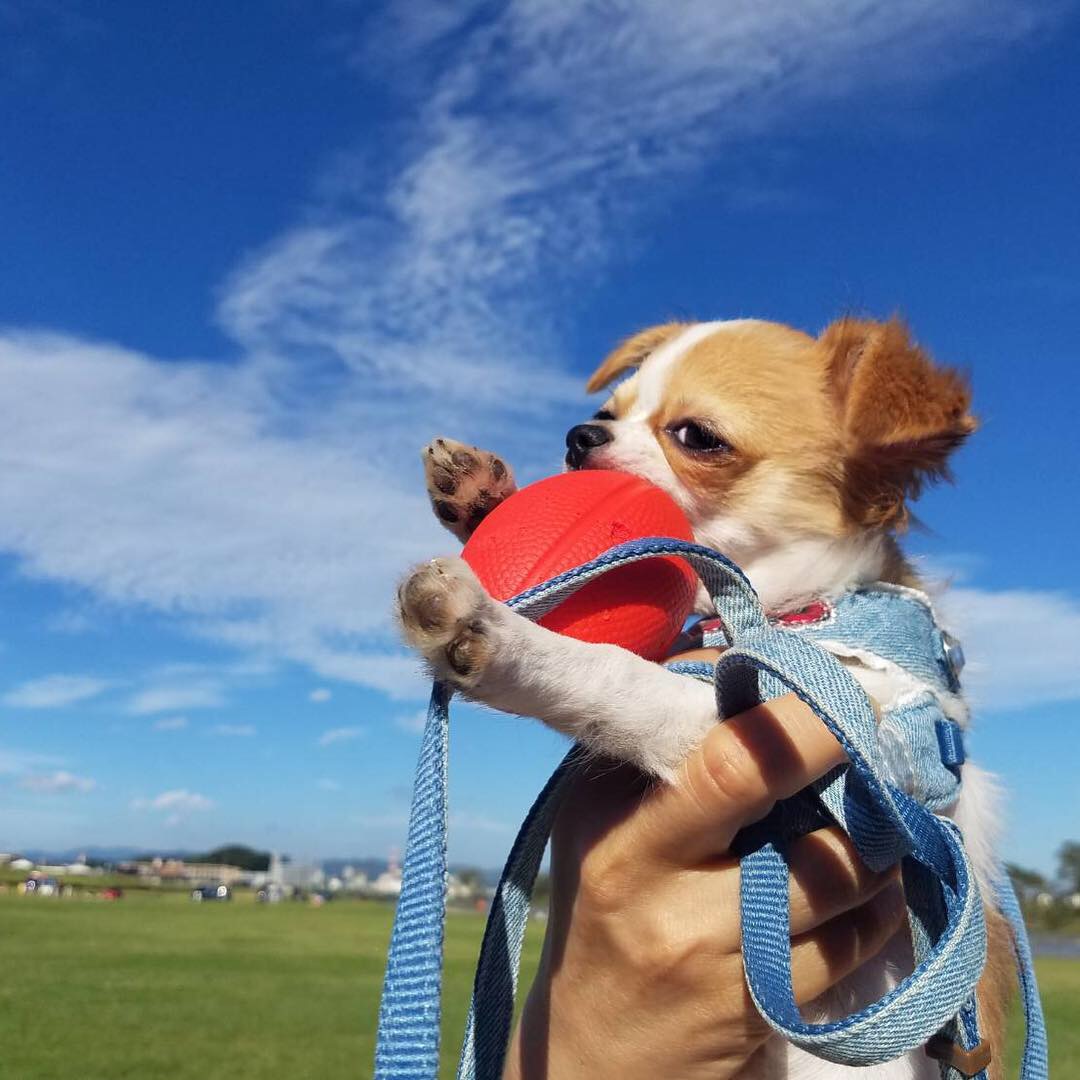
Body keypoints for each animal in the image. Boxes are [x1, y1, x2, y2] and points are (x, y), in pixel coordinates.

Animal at [395, 319, 1010, 1080]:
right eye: (605, 413)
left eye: (696, 436)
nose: (578, 436)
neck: (767, 617)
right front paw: (484, 496)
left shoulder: (826, 757)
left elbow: (623, 677)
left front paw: (500, 638)